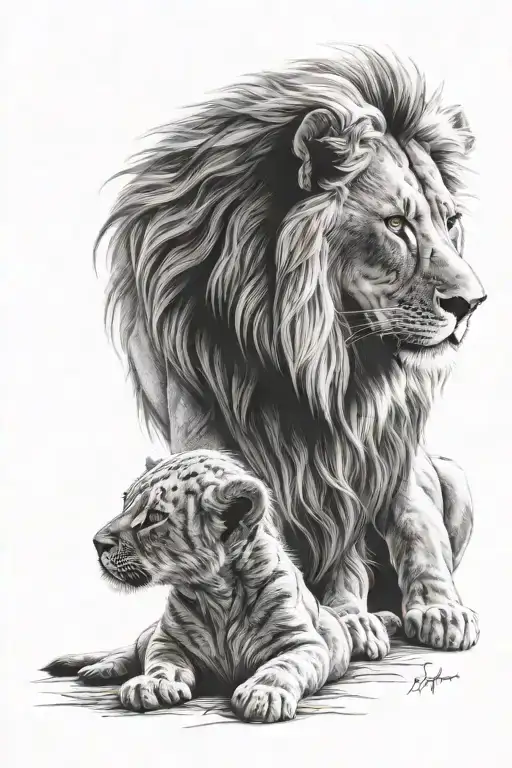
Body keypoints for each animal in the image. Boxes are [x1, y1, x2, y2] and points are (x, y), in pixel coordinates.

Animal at [92, 45, 485, 657]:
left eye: (451, 221)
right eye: (396, 224)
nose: (473, 303)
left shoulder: (365, 446)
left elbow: (386, 526)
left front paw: (374, 614)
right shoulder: (201, 421)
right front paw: (338, 618)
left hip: (446, 473)